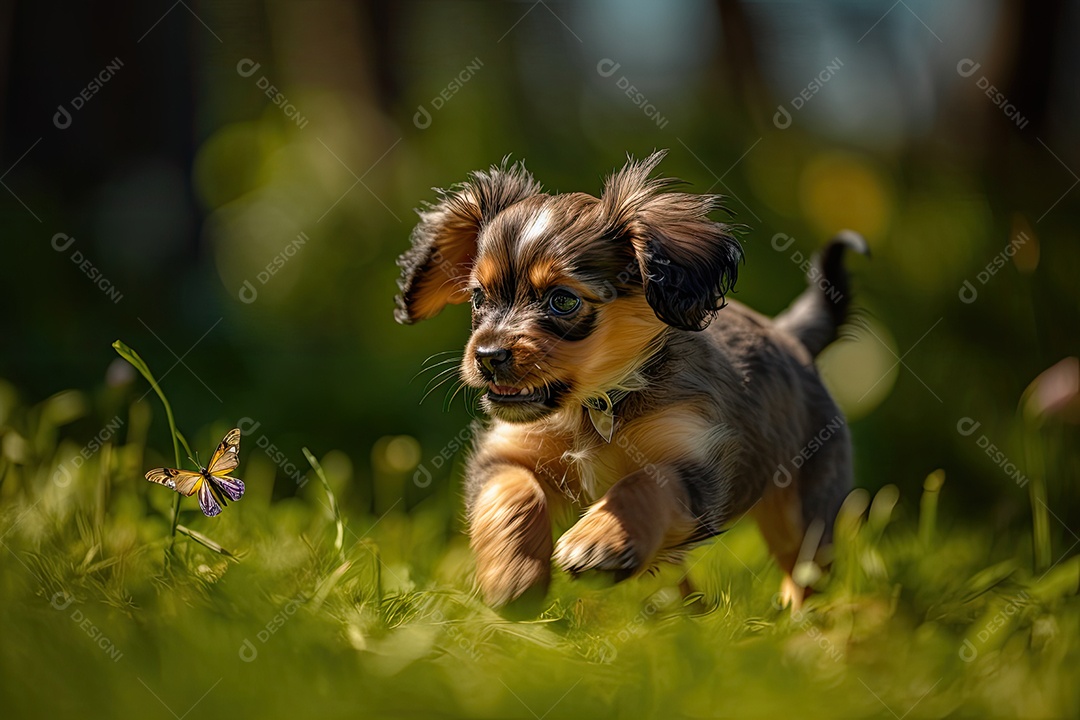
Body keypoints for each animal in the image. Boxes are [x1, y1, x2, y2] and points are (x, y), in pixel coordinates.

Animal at [393, 151, 864, 608]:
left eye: (562, 301)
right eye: (478, 297)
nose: (488, 357)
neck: (594, 404)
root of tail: (789, 335)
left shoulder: (696, 464)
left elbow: (644, 484)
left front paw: (598, 540)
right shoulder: (507, 452)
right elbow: (511, 494)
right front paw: (513, 575)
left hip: (803, 508)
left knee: (804, 568)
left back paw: (795, 621)